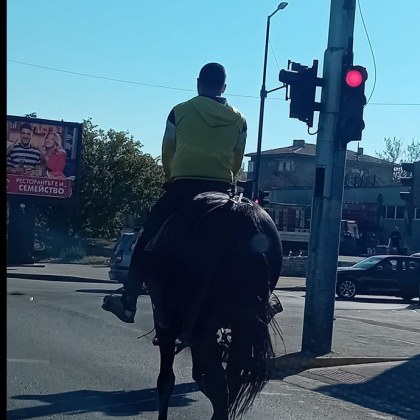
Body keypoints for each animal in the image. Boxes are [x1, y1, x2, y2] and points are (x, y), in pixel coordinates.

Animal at [139, 191, 284, 420]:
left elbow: (166, 380)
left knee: (219, 385)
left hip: (198, 325)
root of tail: (236, 212)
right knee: (229, 382)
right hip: (240, 326)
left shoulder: (167, 323)